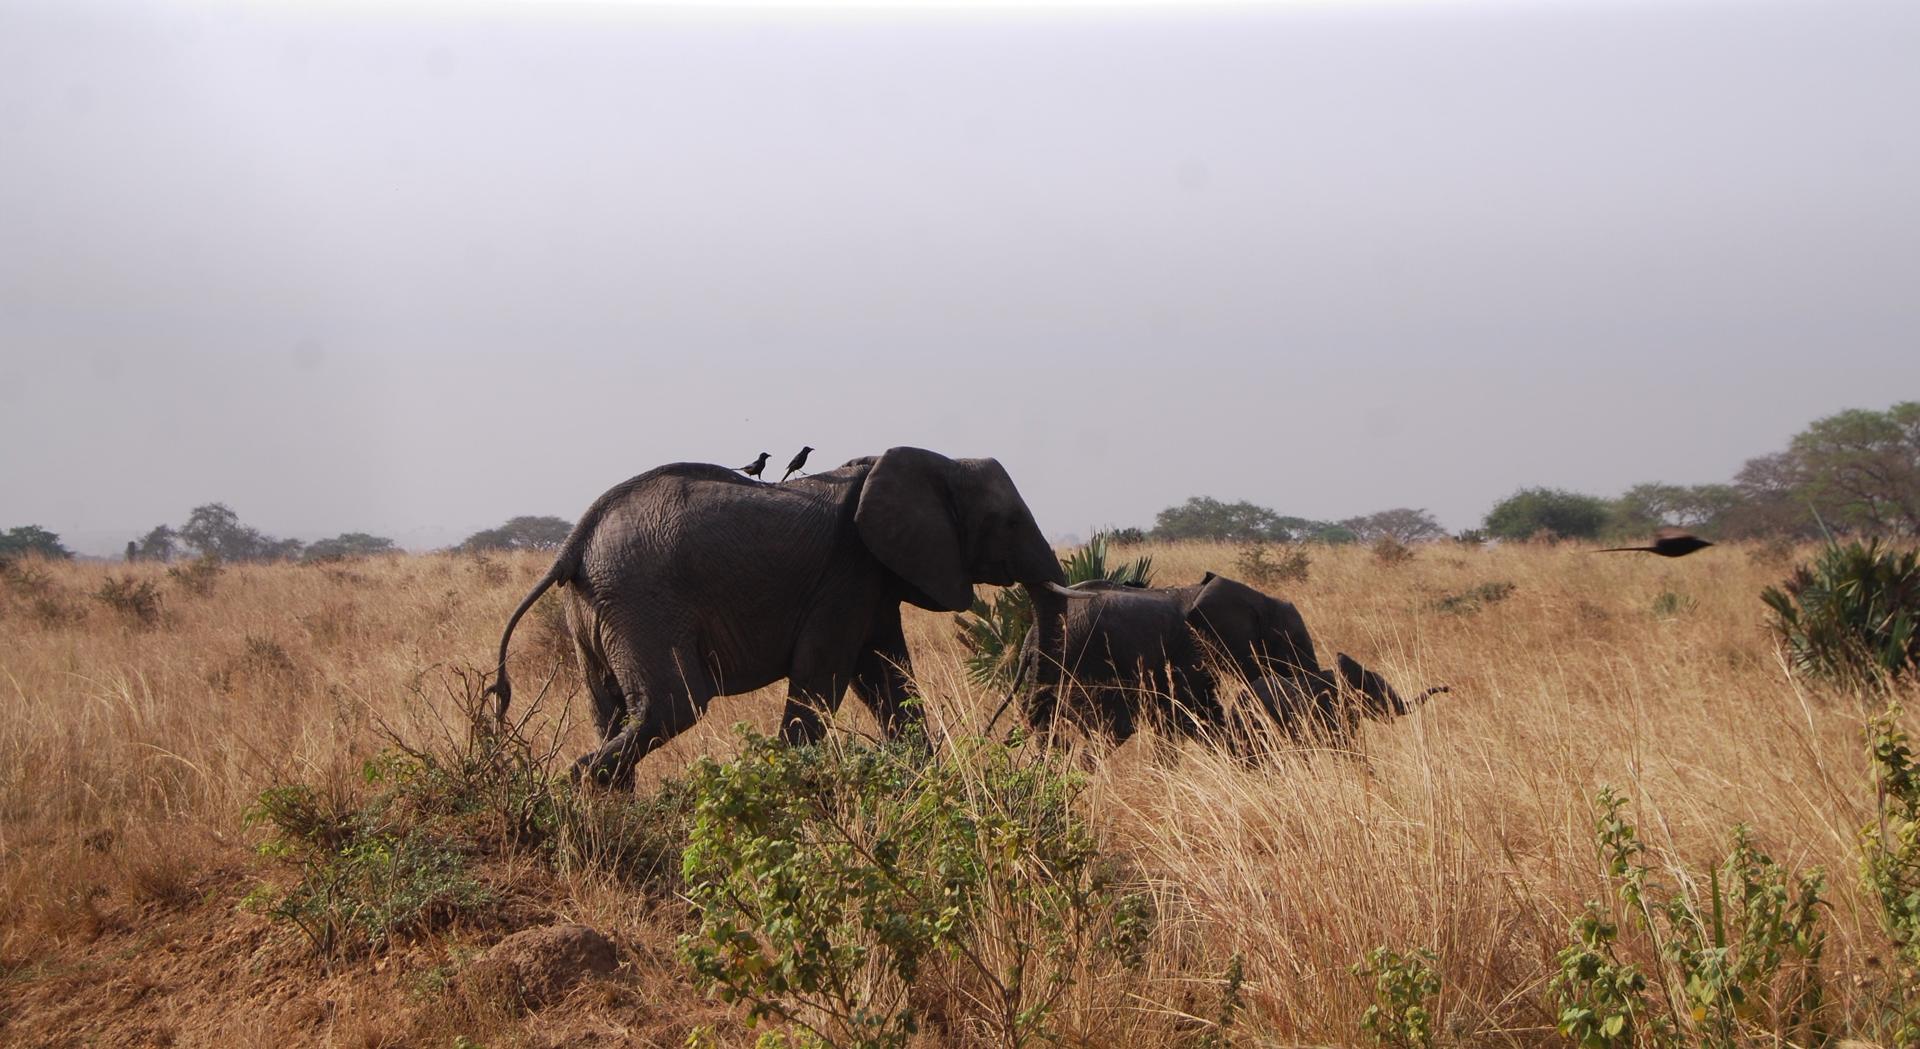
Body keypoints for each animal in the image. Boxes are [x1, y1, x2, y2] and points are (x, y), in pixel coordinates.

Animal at [486, 446, 1071, 787]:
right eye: (1008, 522)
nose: (1039, 740)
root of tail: (573, 542)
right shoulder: (847, 570)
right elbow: (824, 679)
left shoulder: (872, 577)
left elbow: (887, 677)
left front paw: (924, 783)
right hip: (640, 600)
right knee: (673, 706)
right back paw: (581, 785)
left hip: (596, 610)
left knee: (610, 709)